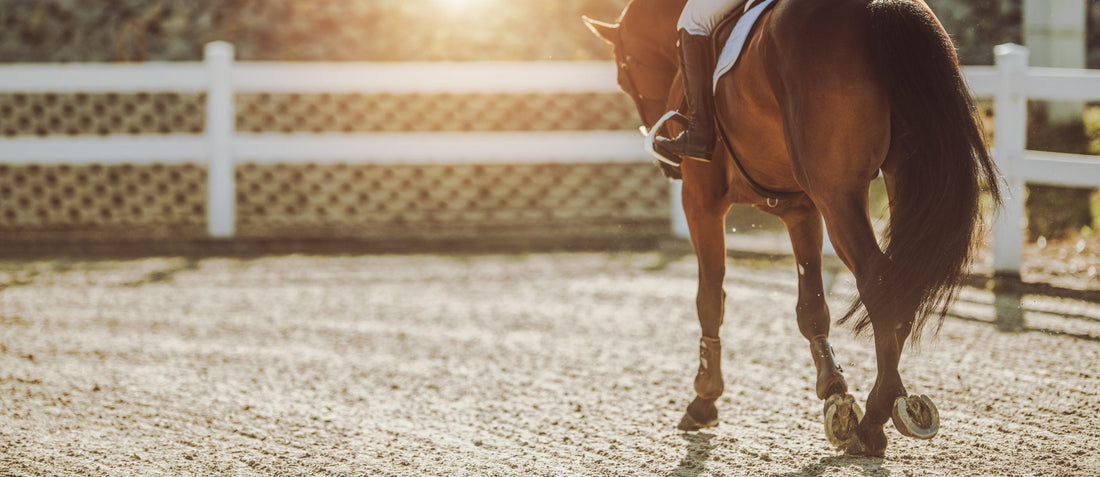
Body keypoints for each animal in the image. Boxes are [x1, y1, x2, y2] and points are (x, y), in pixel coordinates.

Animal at [584, 0, 1000, 456]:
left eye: (624, 71)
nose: (668, 161)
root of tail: (878, 7)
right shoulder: (801, 210)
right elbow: (812, 307)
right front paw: (834, 392)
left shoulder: (701, 201)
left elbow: (710, 298)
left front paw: (704, 399)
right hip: (898, 176)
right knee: (903, 282)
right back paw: (883, 410)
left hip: (838, 195)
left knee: (879, 282)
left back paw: (874, 421)